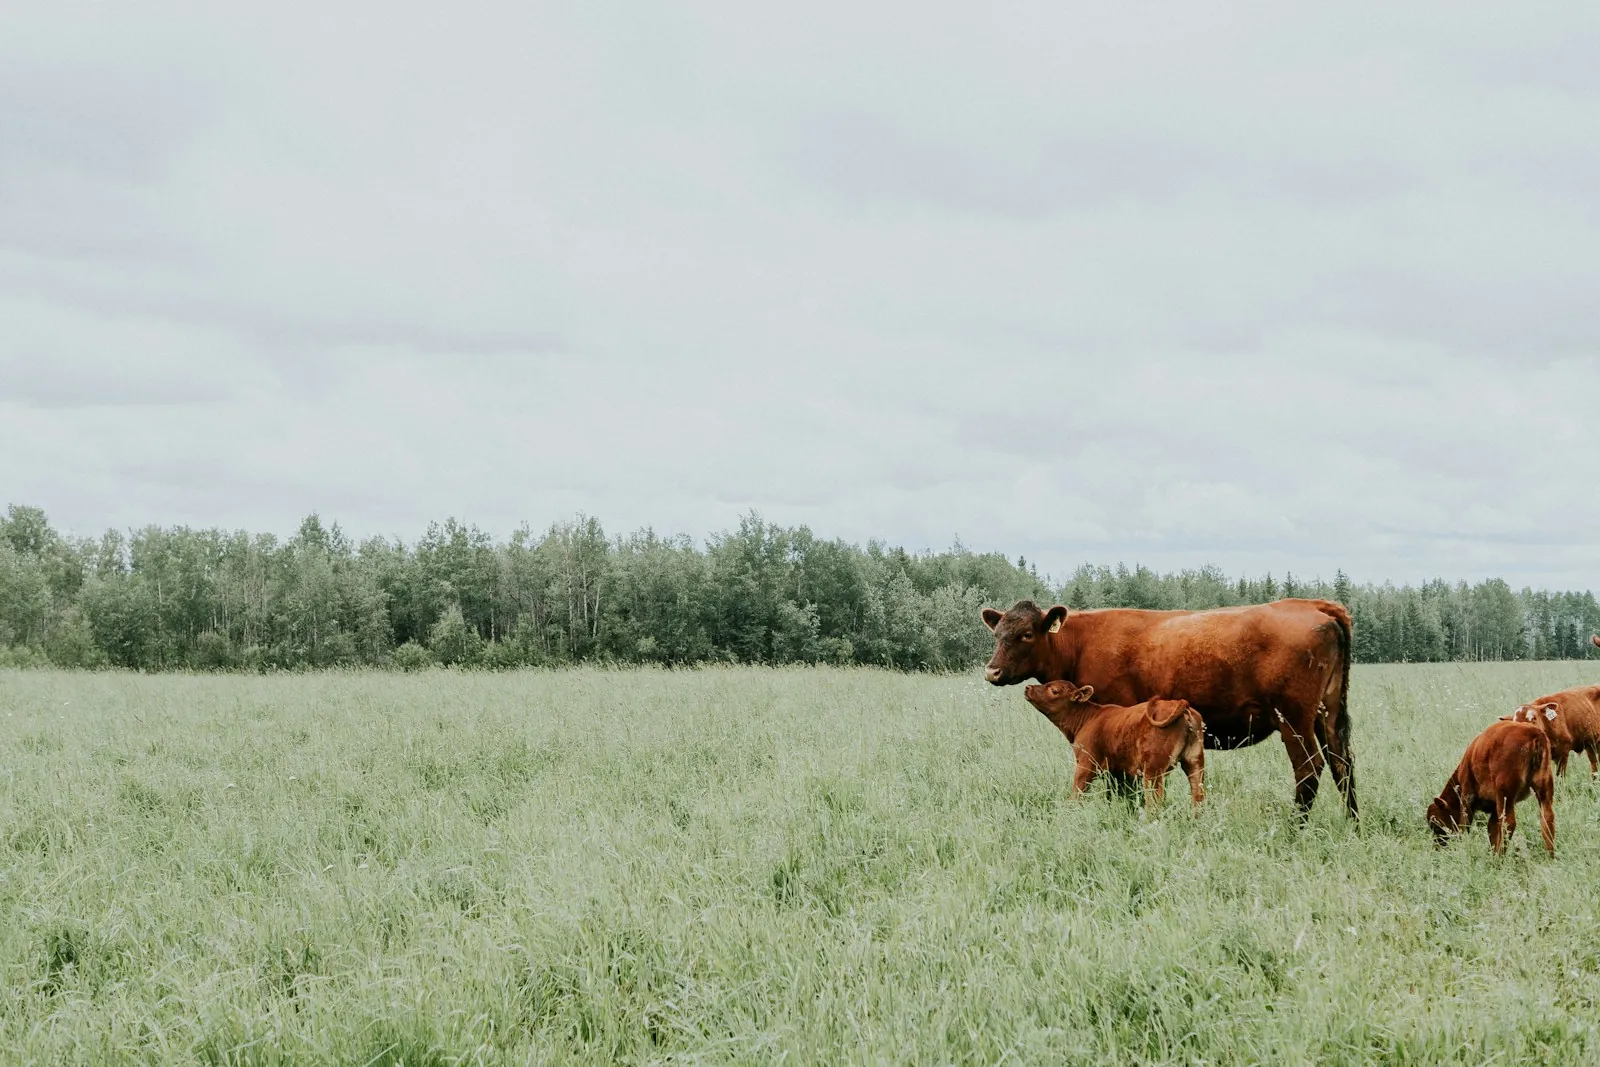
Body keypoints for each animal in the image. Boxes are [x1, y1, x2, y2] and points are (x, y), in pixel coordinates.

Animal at [1024, 681, 1205, 810]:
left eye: (1054, 690)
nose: (1027, 687)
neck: (1087, 718)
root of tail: (1184, 706)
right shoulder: (1116, 770)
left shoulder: (1086, 763)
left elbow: (1077, 792)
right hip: (1195, 762)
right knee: (1198, 796)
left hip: (1153, 770)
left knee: (1154, 803)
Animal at [1426, 718, 1555, 856]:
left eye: (1437, 824)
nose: (1438, 846)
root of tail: (1534, 733)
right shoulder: (1494, 806)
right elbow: (1492, 830)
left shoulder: (1467, 794)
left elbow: (1465, 825)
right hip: (1543, 788)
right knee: (1547, 818)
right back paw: (1550, 856)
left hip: (1505, 792)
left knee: (1508, 823)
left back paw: (1501, 857)